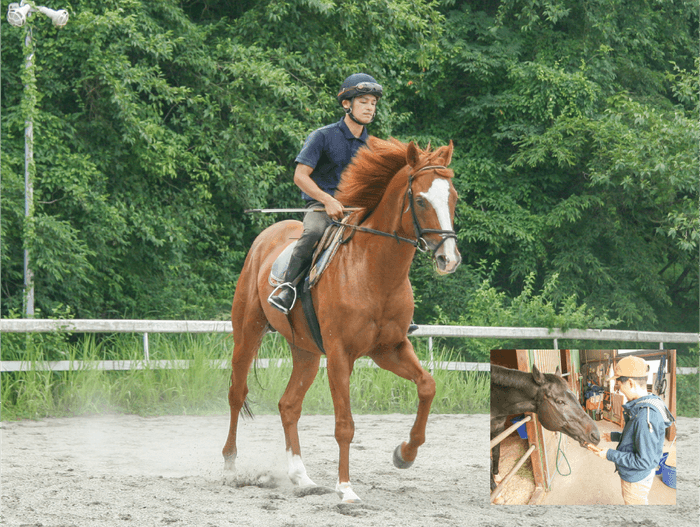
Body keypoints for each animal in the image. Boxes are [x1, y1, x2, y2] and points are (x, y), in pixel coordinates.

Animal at [222, 137, 461, 503]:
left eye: (453, 197)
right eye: (420, 200)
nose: (448, 259)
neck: (373, 271)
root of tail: (269, 233)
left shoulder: (389, 348)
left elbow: (427, 386)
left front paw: (404, 454)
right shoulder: (339, 355)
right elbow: (344, 424)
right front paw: (346, 489)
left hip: (305, 352)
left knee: (288, 405)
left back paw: (301, 478)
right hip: (247, 333)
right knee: (237, 393)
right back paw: (231, 465)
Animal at [490, 364, 600, 493]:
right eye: (560, 401)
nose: (595, 435)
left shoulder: (498, 429)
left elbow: (496, 452)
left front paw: (497, 478)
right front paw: (494, 489)